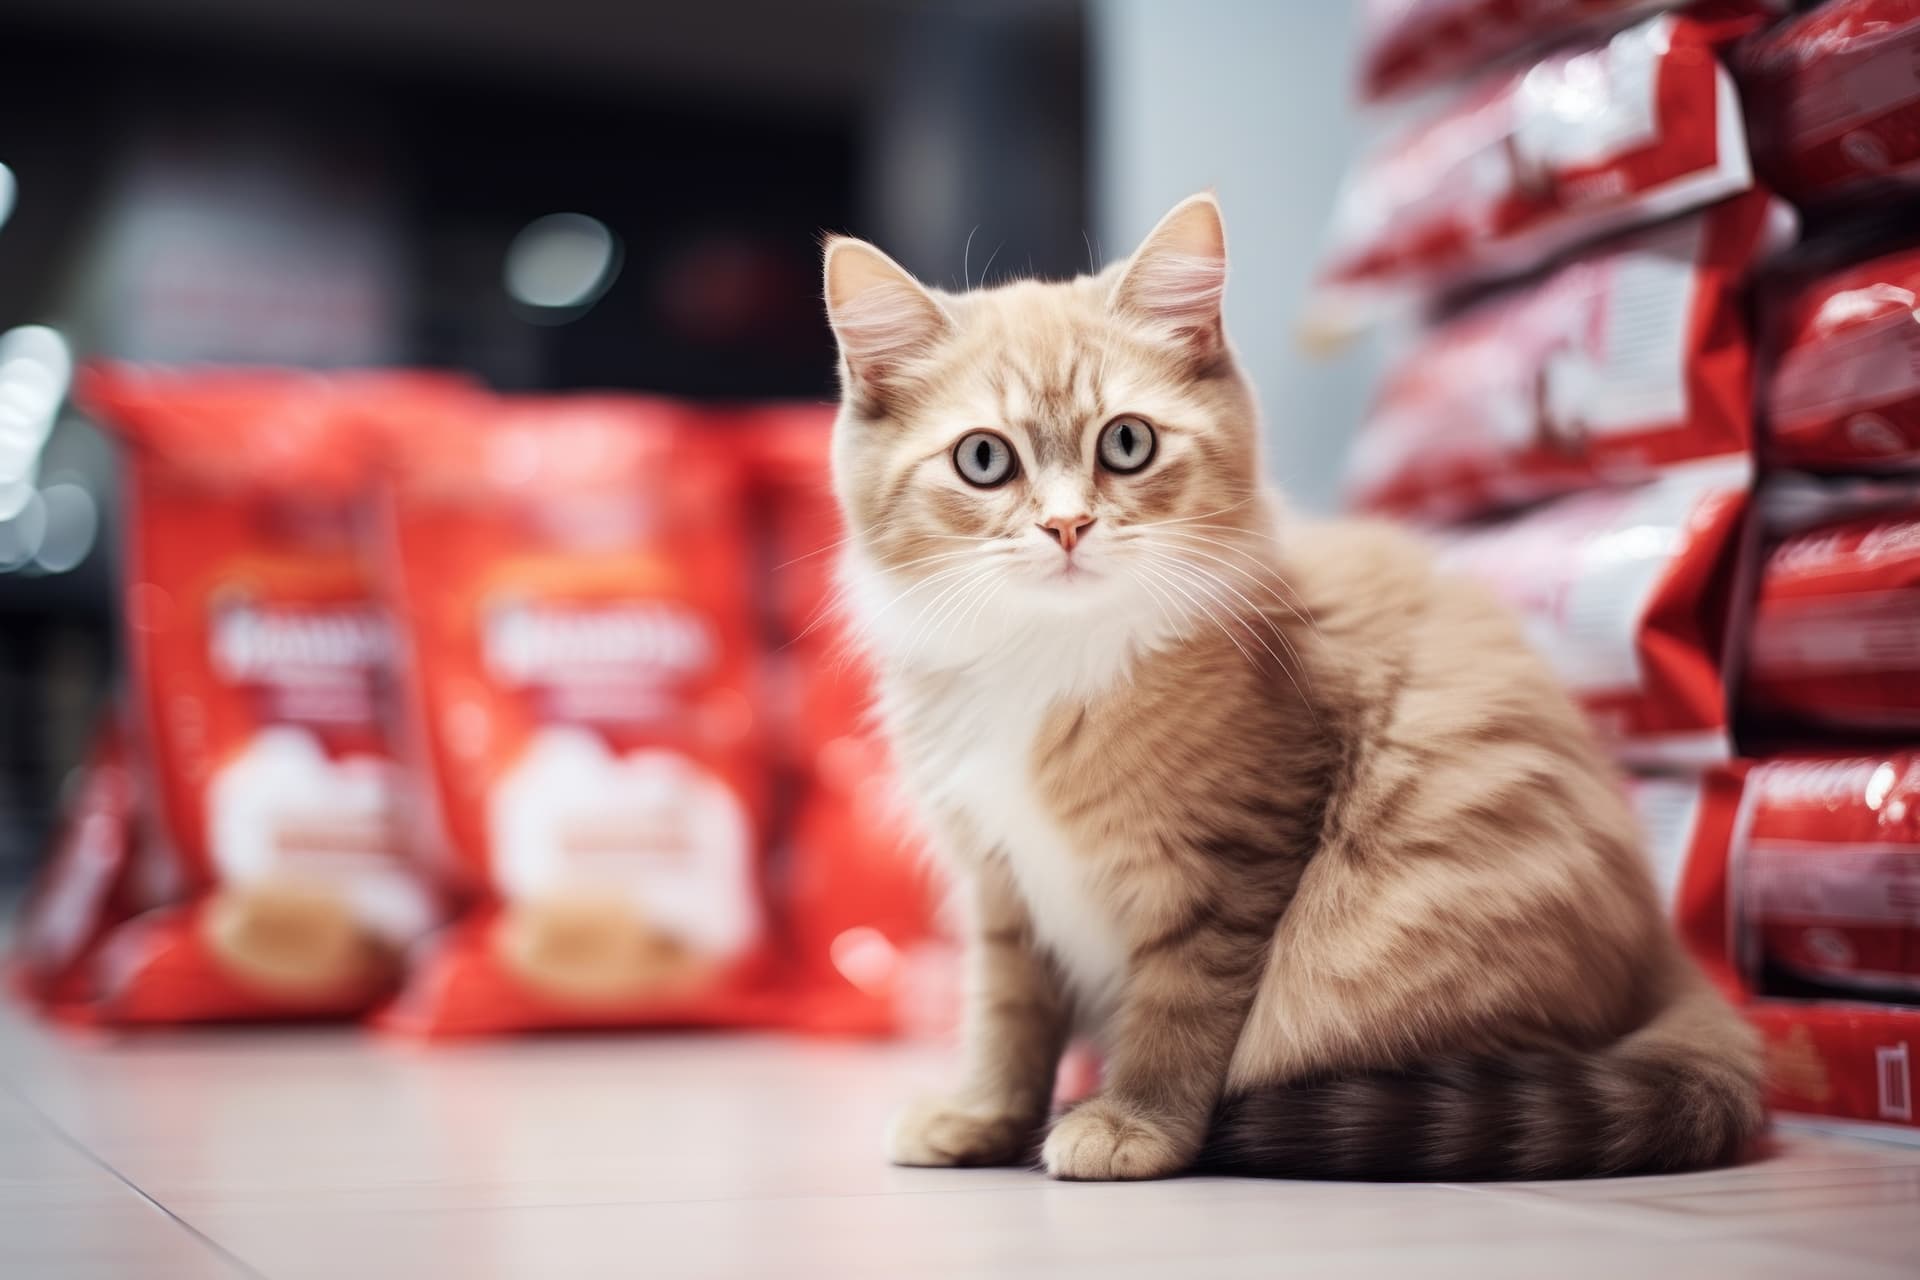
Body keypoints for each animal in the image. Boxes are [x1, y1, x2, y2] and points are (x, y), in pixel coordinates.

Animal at [817, 189, 1758, 1182]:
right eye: (984, 460)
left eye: (1127, 442)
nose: (1068, 526)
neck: (1049, 653)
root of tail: (1662, 953)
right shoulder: (1000, 888)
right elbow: (1007, 1016)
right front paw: (982, 1115)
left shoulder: (1231, 864)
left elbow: (1180, 1013)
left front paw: (1133, 1121)